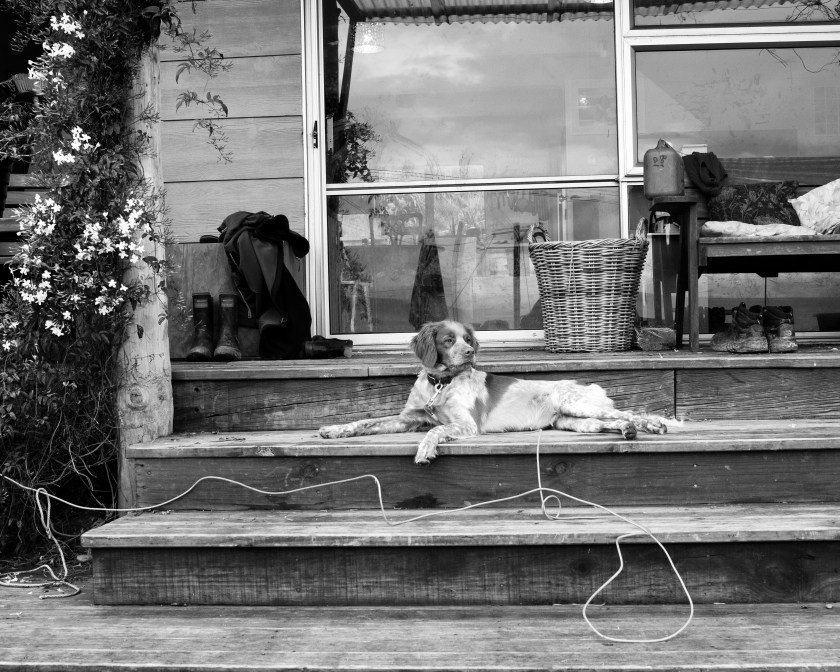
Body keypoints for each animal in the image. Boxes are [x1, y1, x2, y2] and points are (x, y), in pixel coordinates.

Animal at [319, 320, 669, 464]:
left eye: (467, 340)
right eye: (448, 340)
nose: (469, 353)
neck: (441, 383)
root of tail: (589, 384)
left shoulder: (465, 425)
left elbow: (436, 431)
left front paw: (425, 450)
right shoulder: (410, 418)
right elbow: (365, 422)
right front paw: (333, 429)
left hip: (579, 405)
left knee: (629, 412)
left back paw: (651, 425)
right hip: (570, 421)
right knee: (612, 422)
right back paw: (627, 431)